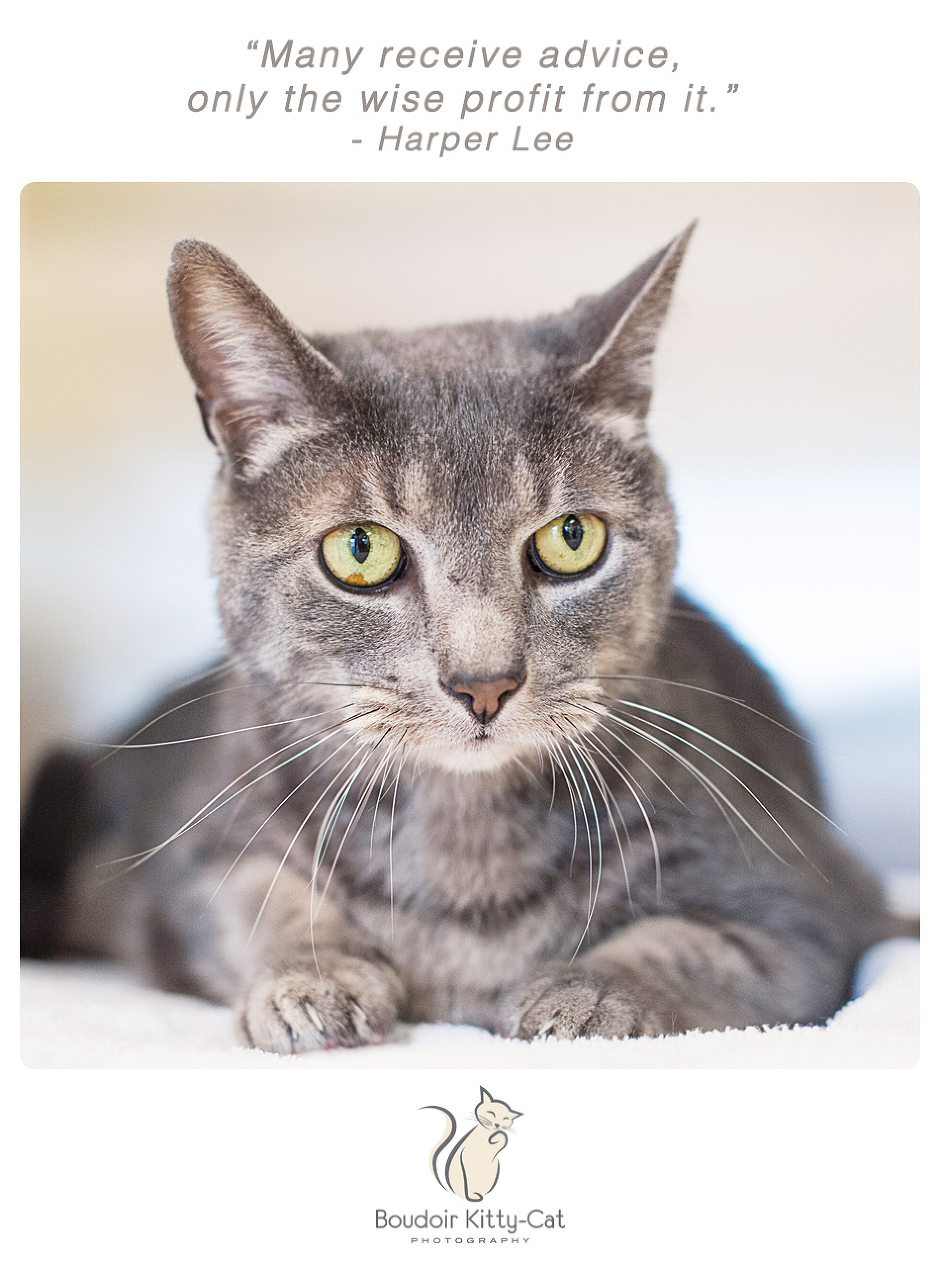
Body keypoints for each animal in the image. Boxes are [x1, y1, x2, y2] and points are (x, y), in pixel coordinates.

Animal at [22, 227, 904, 1055]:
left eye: (572, 538)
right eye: (360, 550)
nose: (485, 682)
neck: (463, 850)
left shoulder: (804, 909)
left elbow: (684, 945)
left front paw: (587, 995)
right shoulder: (194, 863)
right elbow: (263, 897)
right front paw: (310, 980)